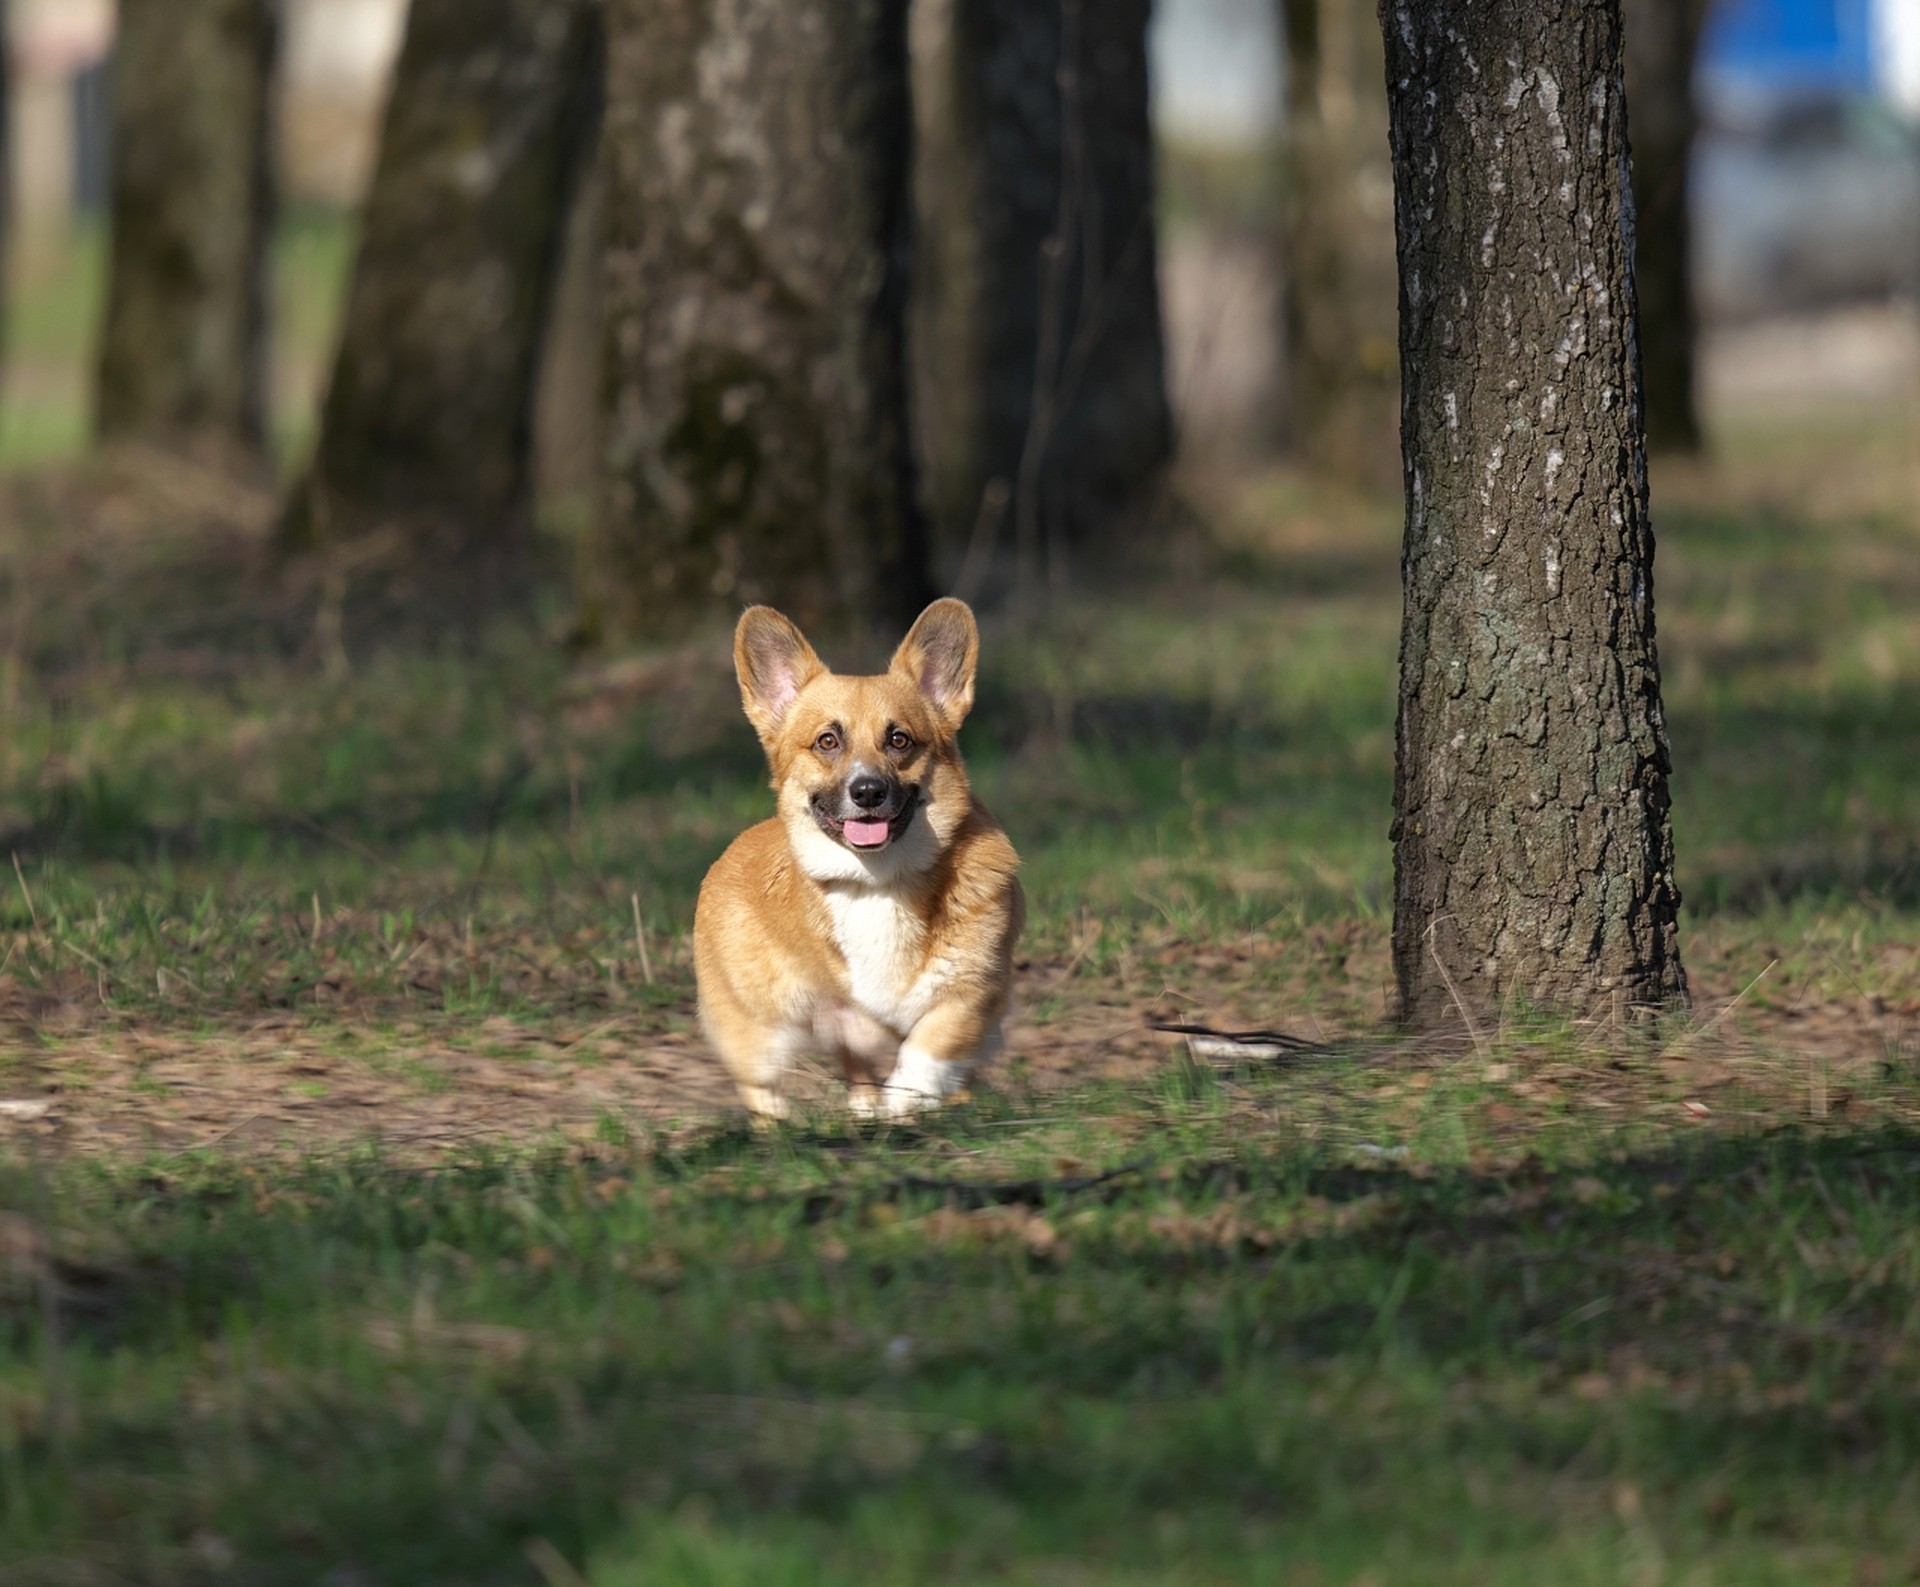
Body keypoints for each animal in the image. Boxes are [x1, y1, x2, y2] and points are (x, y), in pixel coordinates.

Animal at [691, 594, 1021, 1120]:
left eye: (899, 739)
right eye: (828, 741)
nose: (867, 791)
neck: (877, 880)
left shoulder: (975, 993)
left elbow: (929, 1047)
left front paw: (904, 1100)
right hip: (757, 1035)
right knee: (765, 1092)